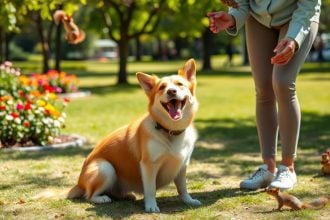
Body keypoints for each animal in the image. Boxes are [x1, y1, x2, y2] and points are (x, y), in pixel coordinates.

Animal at [67, 58, 201, 211]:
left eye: (180, 84)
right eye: (162, 87)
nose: (171, 91)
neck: (171, 131)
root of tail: (79, 183)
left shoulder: (182, 165)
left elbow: (183, 188)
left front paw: (189, 201)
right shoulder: (148, 165)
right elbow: (150, 189)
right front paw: (151, 206)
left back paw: (125, 196)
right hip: (105, 168)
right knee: (89, 195)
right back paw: (102, 198)